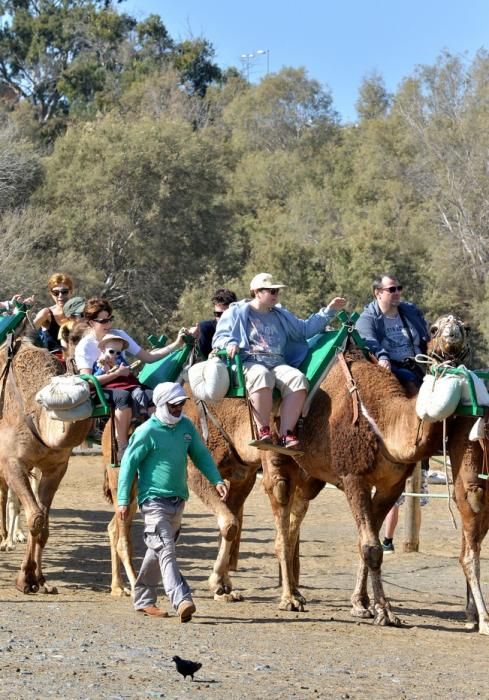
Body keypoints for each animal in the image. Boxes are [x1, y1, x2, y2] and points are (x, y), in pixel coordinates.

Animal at [0, 328, 92, 592]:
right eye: (74, 337)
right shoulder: (11, 461)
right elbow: (36, 517)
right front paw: (24, 579)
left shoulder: (56, 467)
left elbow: (43, 521)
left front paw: (36, 578)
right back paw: (4, 539)